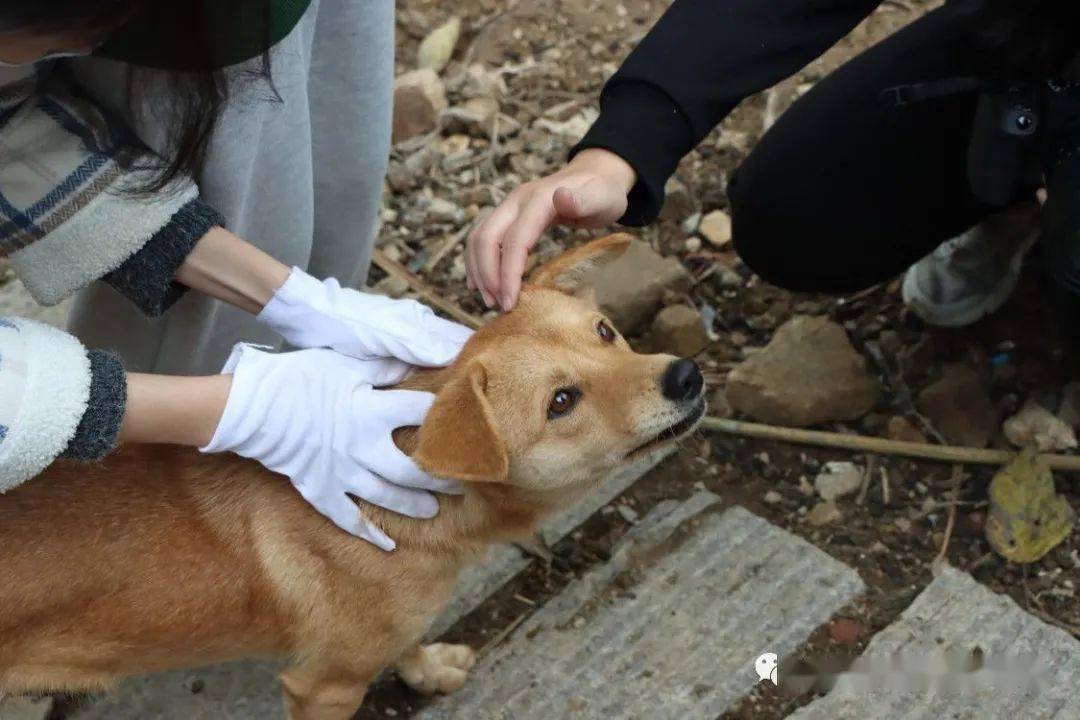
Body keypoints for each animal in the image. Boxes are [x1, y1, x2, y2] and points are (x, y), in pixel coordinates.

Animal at [0, 234, 708, 716]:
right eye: (561, 401)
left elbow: (408, 644)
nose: (686, 375)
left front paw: (428, 670)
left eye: (605, 332)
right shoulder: (325, 687)